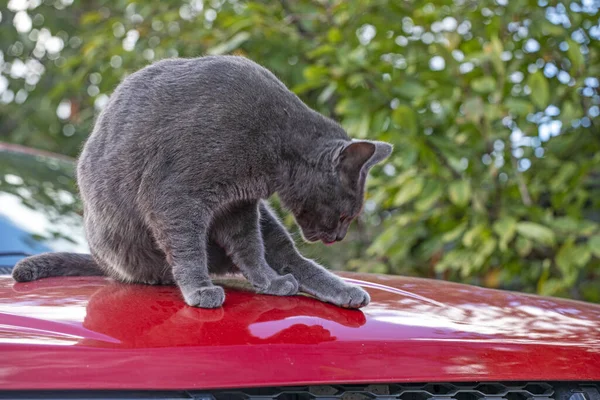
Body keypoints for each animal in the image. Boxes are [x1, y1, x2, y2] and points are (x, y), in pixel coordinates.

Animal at [12, 54, 394, 308]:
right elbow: (188, 247)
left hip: (266, 218)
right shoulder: (175, 197)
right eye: (345, 215)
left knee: (288, 255)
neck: (276, 145)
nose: (339, 236)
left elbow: (250, 249)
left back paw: (343, 291)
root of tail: (106, 266)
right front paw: (199, 290)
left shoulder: (238, 206)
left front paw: (267, 281)